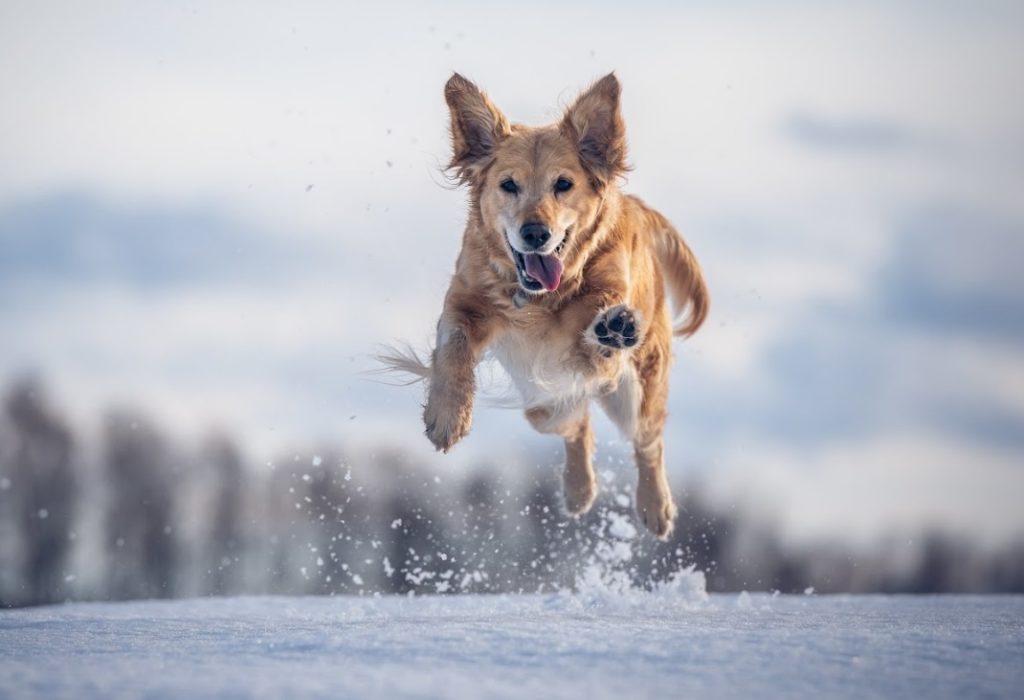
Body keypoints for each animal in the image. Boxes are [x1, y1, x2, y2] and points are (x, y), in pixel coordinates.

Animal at [380, 73, 708, 540]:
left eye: (563, 184)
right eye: (508, 184)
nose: (535, 232)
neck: (540, 295)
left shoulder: (594, 348)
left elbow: (594, 338)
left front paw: (611, 328)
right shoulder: (464, 301)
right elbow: (453, 347)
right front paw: (447, 415)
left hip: (635, 393)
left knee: (648, 441)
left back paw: (655, 505)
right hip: (543, 408)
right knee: (579, 426)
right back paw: (578, 490)